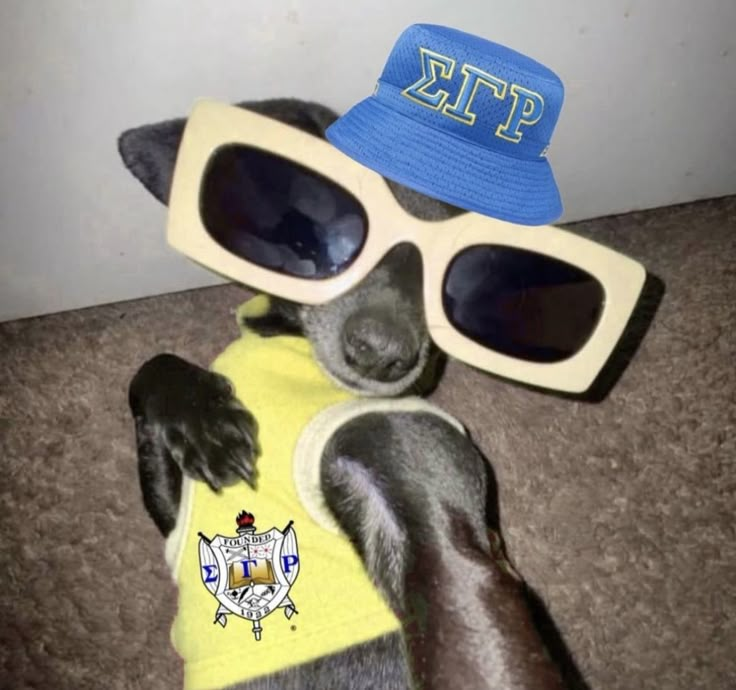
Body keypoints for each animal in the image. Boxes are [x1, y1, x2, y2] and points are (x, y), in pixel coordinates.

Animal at [119, 99, 564, 684]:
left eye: (460, 275)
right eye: (340, 230)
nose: (381, 351)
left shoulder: (445, 544)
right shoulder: (176, 515)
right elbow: (150, 369)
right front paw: (204, 420)